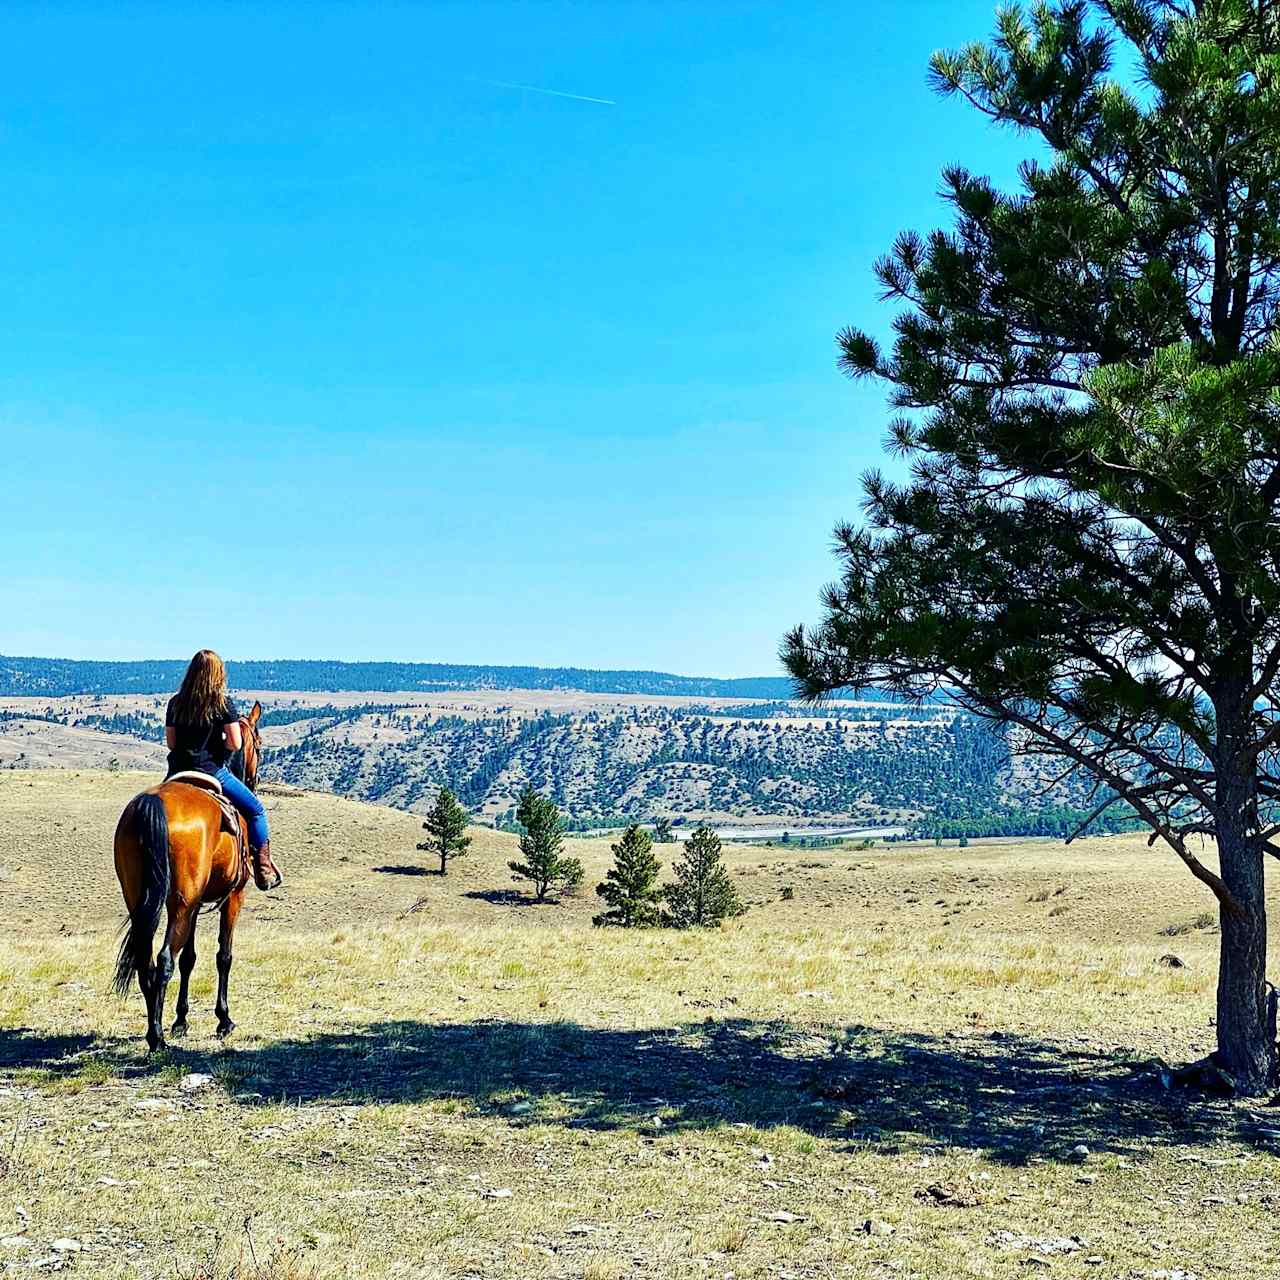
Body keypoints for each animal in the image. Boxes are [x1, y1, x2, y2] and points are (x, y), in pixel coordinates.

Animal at [113, 701, 263, 1049]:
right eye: (259, 746)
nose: (255, 778)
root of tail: (153, 803)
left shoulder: (194, 903)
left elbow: (190, 958)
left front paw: (181, 1020)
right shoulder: (233, 897)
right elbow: (223, 954)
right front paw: (224, 1020)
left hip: (148, 899)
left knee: (147, 961)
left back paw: (155, 1030)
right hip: (182, 903)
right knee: (164, 959)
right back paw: (156, 1038)